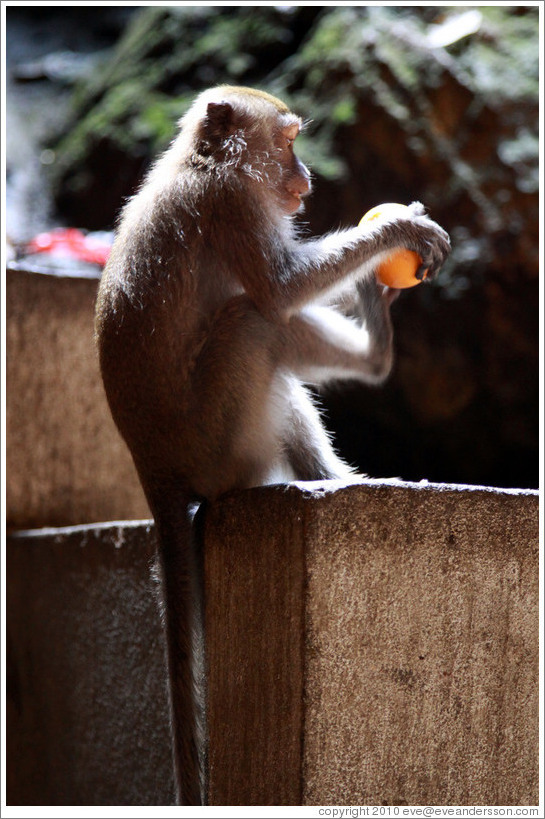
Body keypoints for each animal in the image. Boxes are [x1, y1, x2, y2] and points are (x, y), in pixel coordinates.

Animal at [94, 86, 450, 804]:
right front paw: (396, 231)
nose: (306, 177)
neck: (200, 164)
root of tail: (153, 470)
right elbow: (281, 288)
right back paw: (363, 384)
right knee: (255, 322)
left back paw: (340, 453)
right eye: (288, 143)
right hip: (221, 442)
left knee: (265, 325)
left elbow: (285, 295)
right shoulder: (231, 205)